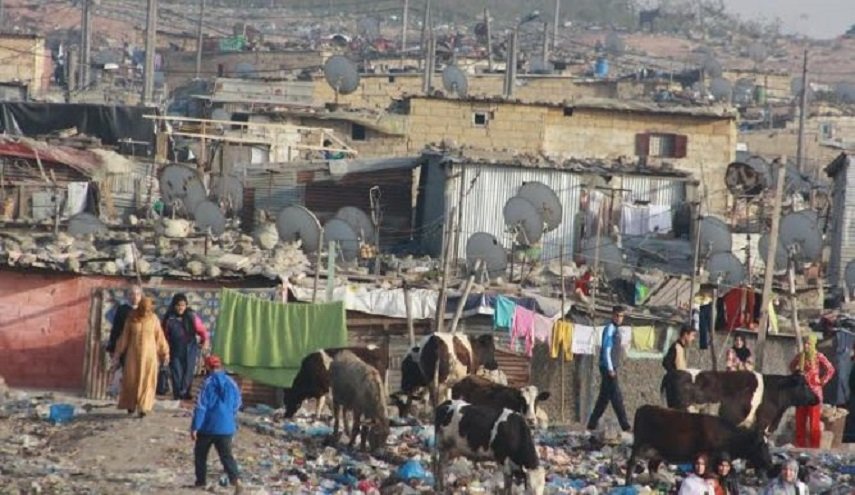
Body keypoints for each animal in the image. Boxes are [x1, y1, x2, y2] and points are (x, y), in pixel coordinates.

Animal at [624, 406, 772, 488]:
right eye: (760, 445)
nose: (770, 463)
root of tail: (643, 408)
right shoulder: (709, 457)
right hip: (640, 445)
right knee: (631, 463)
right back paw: (628, 483)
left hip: (658, 452)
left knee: (652, 467)